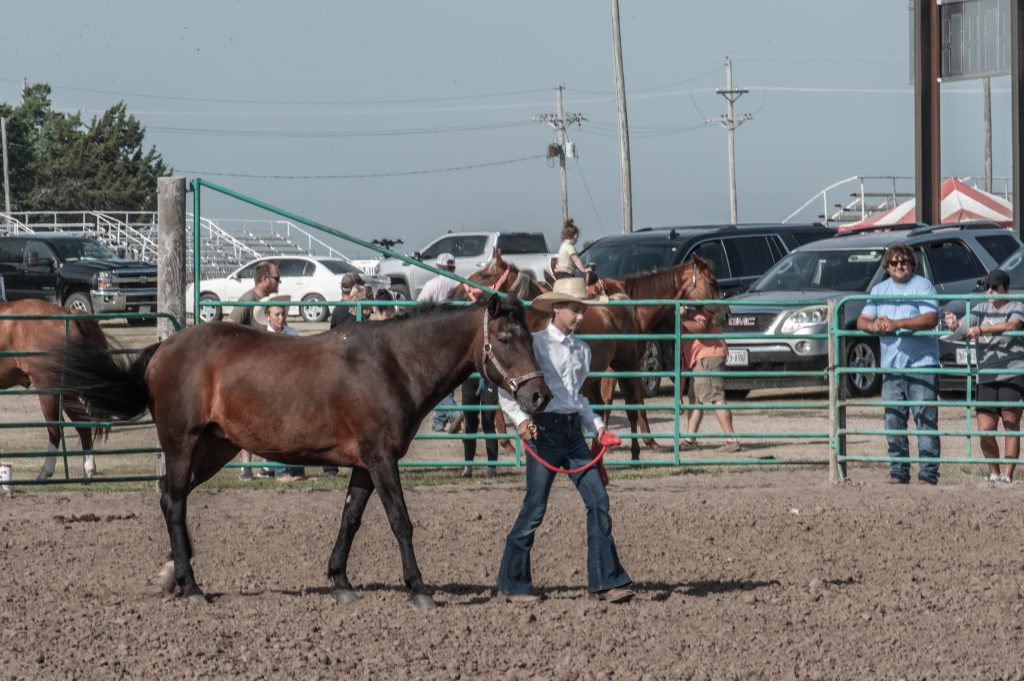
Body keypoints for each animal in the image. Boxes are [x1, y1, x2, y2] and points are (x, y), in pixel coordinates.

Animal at [0, 299, 110, 480]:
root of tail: (66, 313)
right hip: (66, 390)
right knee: (83, 426)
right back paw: (87, 471)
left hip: (49, 389)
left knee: (55, 429)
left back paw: (45, 472)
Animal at [44, 294, 551, 609]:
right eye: (506, 339)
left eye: (531, 337)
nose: (538, 396)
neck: (392, 364)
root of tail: (163, 348)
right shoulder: (383, 459)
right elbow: (400, 521)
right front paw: (420, 589)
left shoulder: (366, 464)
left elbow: (351, 518)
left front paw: (341, 583)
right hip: (183, 444)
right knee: (172, 501)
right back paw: (192, 587)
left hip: (214, 449)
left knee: (173, 496)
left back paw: (177, 577)